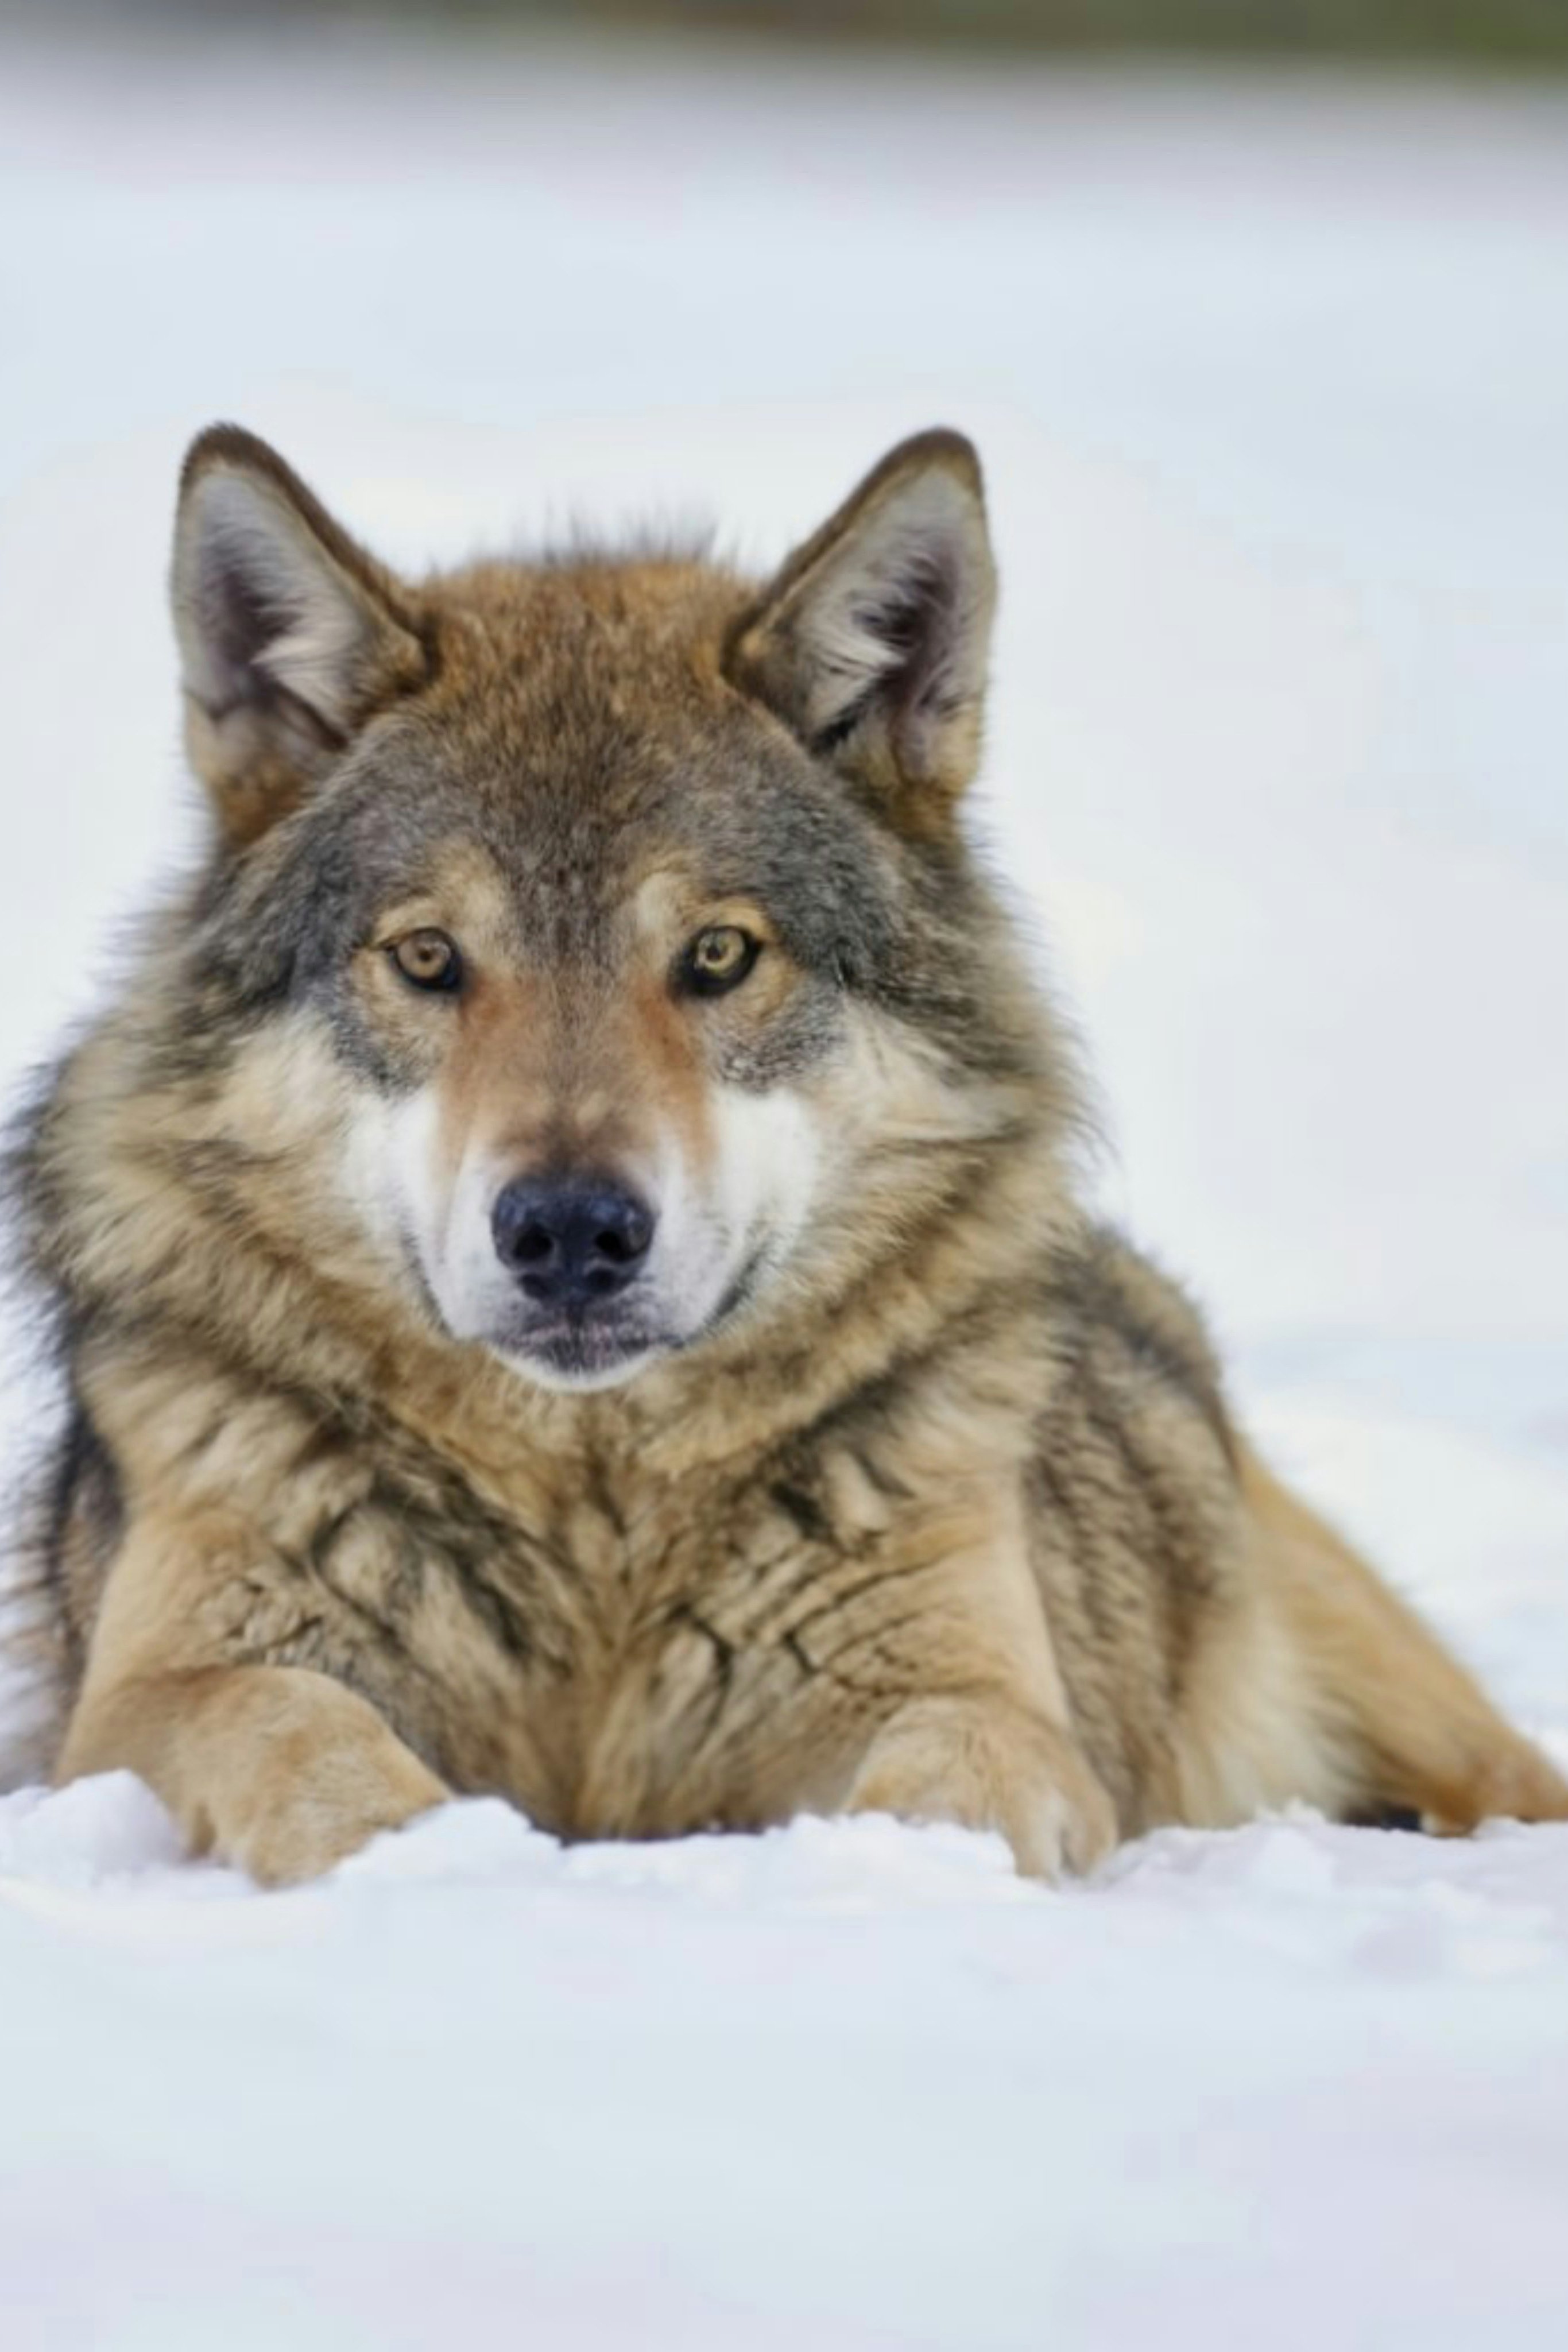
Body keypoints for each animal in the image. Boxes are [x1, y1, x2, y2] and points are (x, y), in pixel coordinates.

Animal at [7, 422, 1564, 1884]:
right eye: (430, 957)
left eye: (717, 954)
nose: (568, 1231)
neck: (595, 1536)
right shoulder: (152, 1695)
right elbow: (297, 1728)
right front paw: (420, 1867)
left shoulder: (975, 1690)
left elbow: (953, 1784)